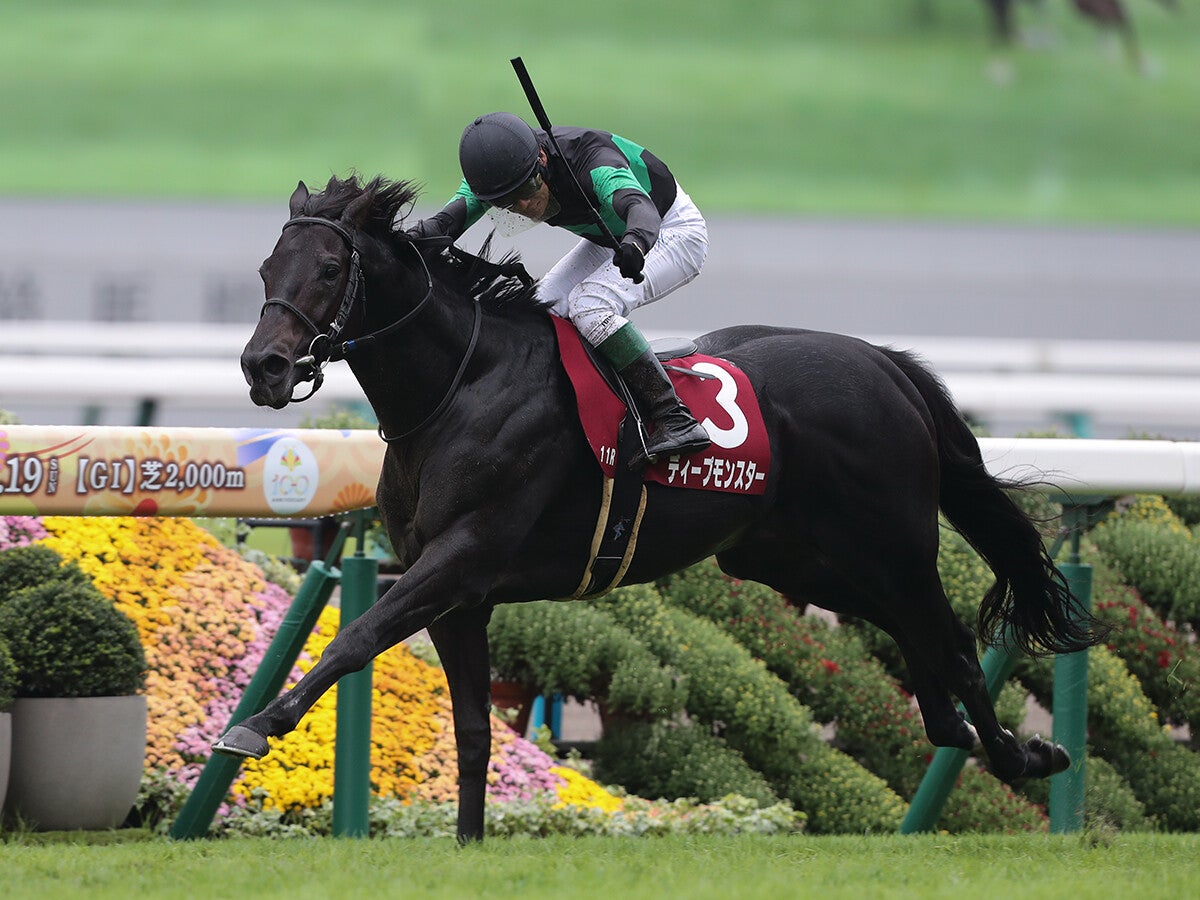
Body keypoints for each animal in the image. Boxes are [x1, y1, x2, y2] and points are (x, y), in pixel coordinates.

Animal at [222, 173, 1100, 841]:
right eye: (266, 268)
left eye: (328, 268)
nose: (264, 367)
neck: (460, 388)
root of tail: (886, 363)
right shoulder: (458, 595)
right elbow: (472, 732)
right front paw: (470, 841)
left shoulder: (461, 558)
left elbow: (356, 638)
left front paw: (258, 723)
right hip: (793, 556)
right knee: (912, 632)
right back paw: (971, 734)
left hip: (894, 542)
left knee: (952, 640)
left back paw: (1023, 753)